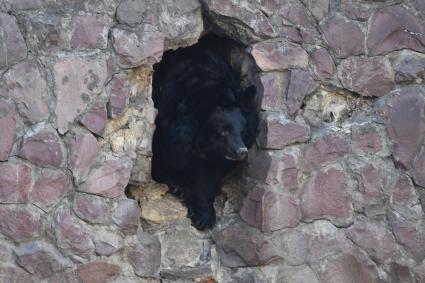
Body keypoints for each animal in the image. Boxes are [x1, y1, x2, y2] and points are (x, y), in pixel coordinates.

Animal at [152, 40, 258, 231]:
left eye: (242, 131)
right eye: (224, 131)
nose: (242, 151)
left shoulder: (217, 158)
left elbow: (208, 178)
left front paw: (203, 216)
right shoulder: (170, 128)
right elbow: (168, 158)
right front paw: (177, 184)